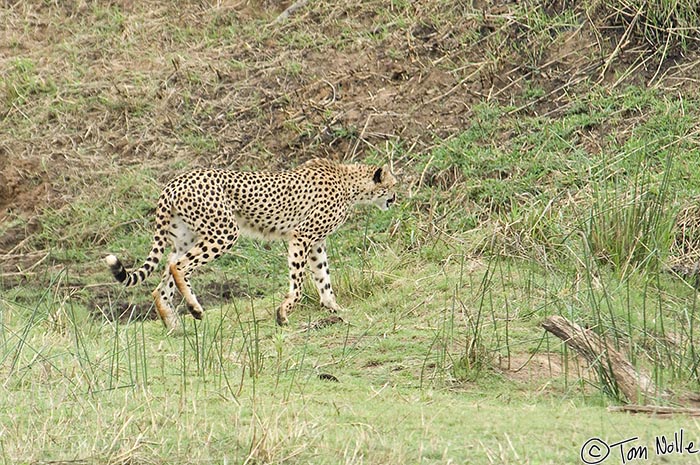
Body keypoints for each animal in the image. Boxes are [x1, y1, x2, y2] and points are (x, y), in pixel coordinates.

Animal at [106, 158, 396, 328]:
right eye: (393, 184)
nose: (396, 197)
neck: (350, 184)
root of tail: (174, 182)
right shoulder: (301, 236)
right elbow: (299, 283)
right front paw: (284, 312)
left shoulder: (315, 243)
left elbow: (323, 278)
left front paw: (333, 307)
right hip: (224, 232)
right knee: (179, 266)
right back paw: (194, 308)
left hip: (185, 239)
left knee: (165, 275)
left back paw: (173, 323)